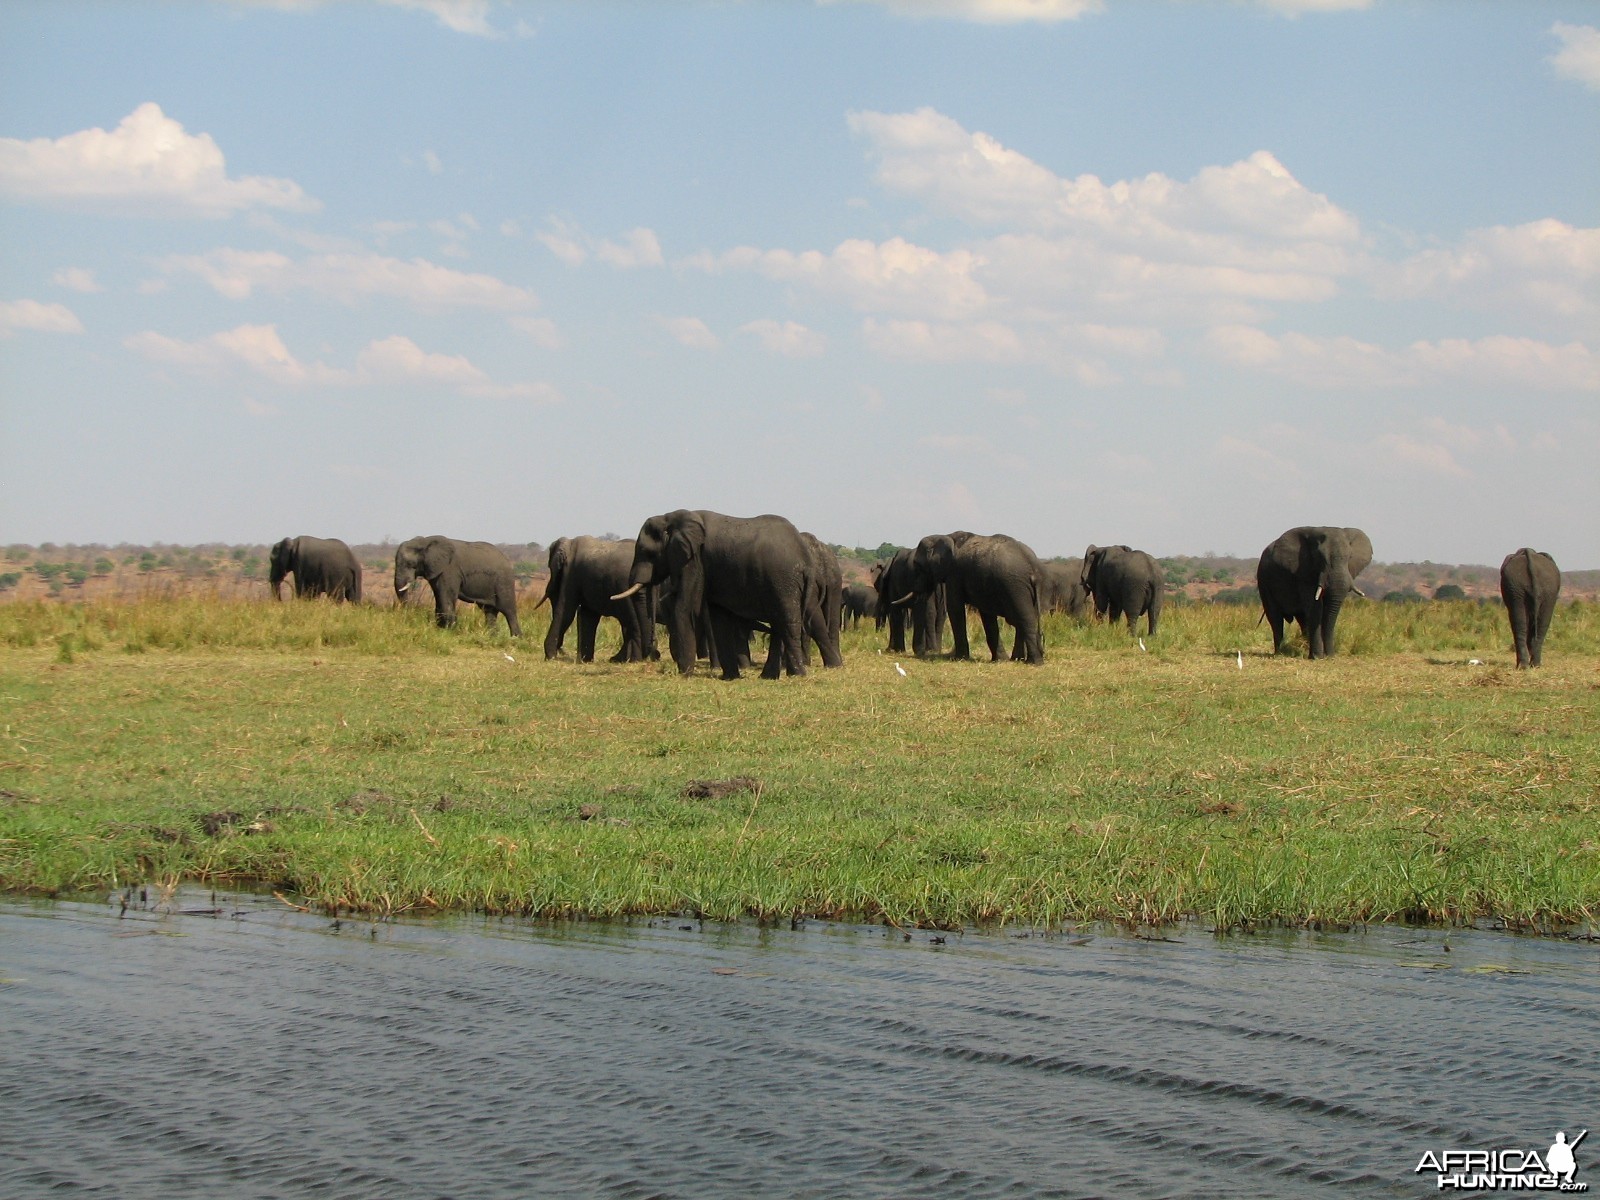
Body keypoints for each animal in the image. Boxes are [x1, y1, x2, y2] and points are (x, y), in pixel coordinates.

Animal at [544, 537, 656, 668]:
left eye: (549, 567)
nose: (561, 651)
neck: (569, 542)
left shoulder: (571, 573)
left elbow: (566, 611)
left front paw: (550, 657)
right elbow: (588, 615)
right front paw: (586, 661)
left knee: (633, 622)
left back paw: (634, 660)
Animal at [611, 508, 812, 678]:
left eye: (646, 552)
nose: (655, 654)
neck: (672, 517)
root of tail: (806, 559)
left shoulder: (694, 560)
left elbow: (684, 607)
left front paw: (684, 674)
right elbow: (718, 617)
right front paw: (729, 678)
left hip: (783, 579)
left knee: (787, 621)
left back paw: (797, 675)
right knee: (778, 622)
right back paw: (769, 677)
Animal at [896, 534, 1043, 668]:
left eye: (917, 565)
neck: (945, 536)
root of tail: (1033, 569)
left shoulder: (954, 574)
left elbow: (955, 608)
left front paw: (959, 658)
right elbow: (987, 614)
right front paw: (999, 660)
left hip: (1015, 587)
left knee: (1024, 619)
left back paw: (1034, 662)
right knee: (1021, 619)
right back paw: (1022, 659)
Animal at [1254, 524, 1369, 659]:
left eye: (1350, 557)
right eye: (1320, 558)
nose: (1330, 655)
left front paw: (1324, 656)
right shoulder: (1304, 572)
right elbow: (1315, 608)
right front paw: (1318, 657)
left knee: (1302, 618)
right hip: (1263, 580)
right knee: (1275, 617)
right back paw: (1280, 653)